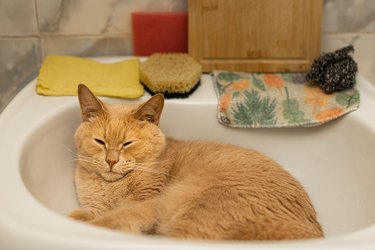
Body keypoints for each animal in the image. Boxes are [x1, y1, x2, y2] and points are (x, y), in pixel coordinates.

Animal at [70, 84, 324, 240]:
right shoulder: (94, 205)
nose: (111, 161)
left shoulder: (147, 204)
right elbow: (87, 214)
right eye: (100, 141)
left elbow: (110, 219)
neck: (110, 187)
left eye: (127, 143)